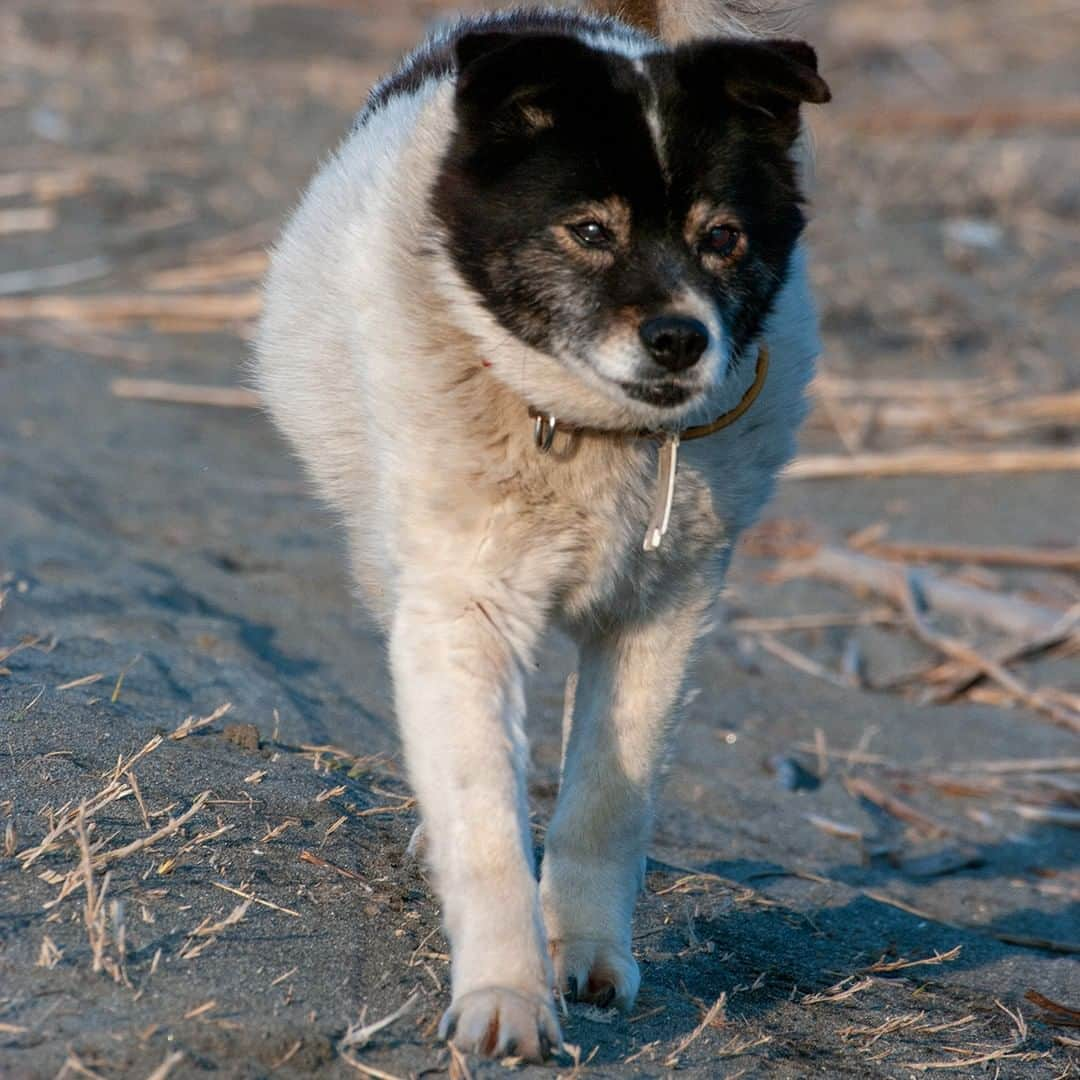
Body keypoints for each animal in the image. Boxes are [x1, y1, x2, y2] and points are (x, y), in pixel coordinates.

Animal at [250, 0, 825, 1062]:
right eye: (590, 230)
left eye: (723, 237)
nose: (680, 339)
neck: (588, 429)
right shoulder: (458, 614)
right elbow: (482, 820)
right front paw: (506, 996)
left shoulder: (660, 616)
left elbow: (608, 797)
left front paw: (587, 952)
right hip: (388, 558)